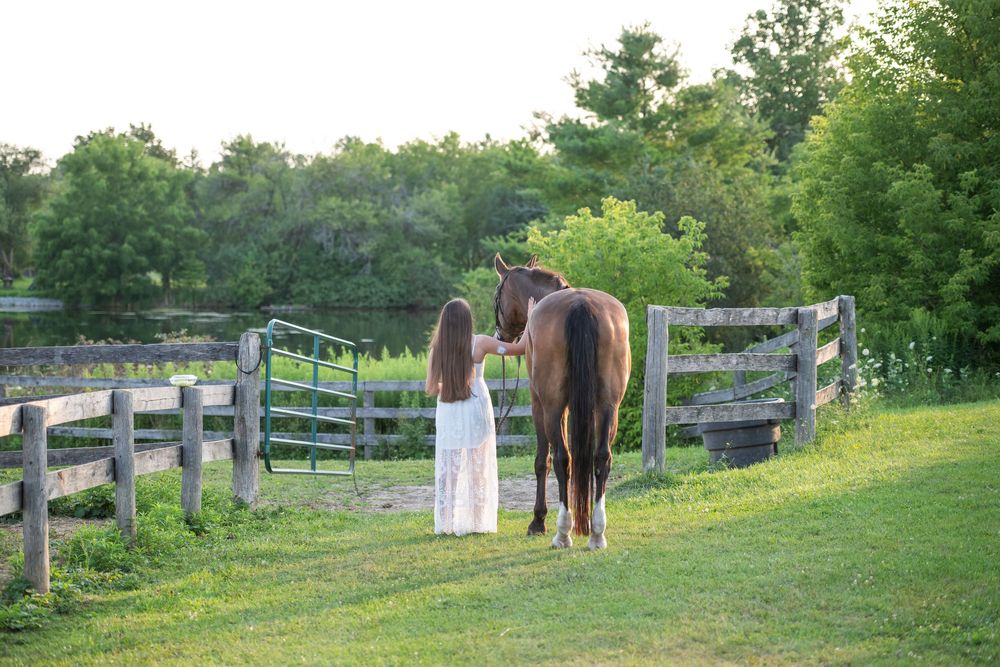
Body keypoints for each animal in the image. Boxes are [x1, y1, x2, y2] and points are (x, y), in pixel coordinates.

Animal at [493, 253, 631, 549]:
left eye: (497, 295)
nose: (500, 336)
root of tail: (581, 305)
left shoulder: (539, 405)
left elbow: (542, 461)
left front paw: (537, 520)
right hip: (608, 407)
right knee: (602, 457)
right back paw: (597, 533)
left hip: (552, 408)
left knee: (561, 459)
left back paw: (562, 533)